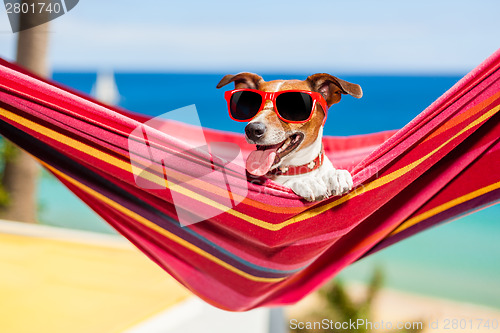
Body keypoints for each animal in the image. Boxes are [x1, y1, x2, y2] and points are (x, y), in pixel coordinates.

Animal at [217, 72, 362, 201]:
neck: (298, 168)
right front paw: (306, 182)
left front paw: (335, 175)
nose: (252, 129)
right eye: (253, 104)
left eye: (294, 106)